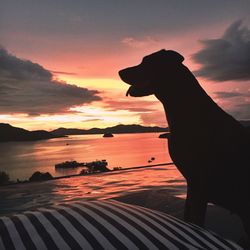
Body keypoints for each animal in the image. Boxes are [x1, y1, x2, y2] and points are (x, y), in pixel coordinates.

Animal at [118, 50, 250, 240]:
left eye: (146, 62)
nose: (119, 72)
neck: (186, 109)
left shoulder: (200, 186)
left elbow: (196, 221)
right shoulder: (192, 185)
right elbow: (187, 217)